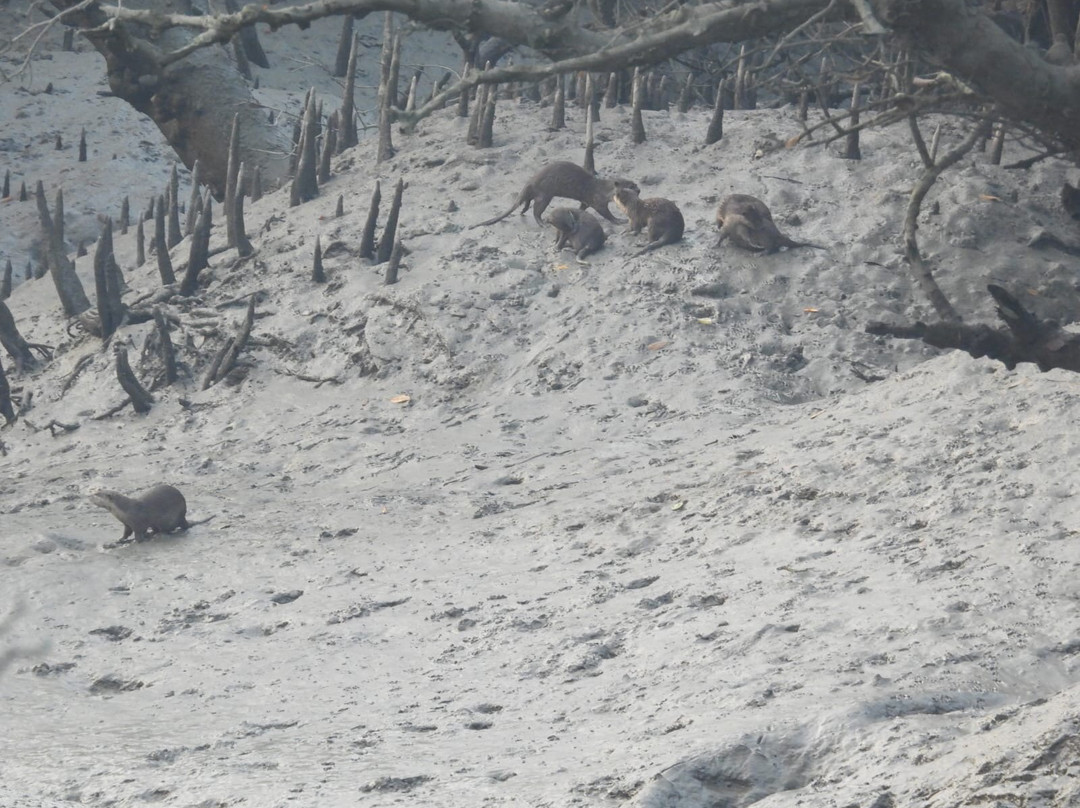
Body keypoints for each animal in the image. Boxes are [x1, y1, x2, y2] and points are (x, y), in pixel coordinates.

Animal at [471, 162, 638, 228]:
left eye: (635, 184)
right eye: (631, 186)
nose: (639, 190)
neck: (603, 189)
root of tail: (530, 180)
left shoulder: (586, 201)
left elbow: (582, 207)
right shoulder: (597, 200)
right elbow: (607, 214)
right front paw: (619, 220)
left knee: (527, 202)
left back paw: (523, 210)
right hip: (545, 195)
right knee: (536, 211)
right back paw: (542, 223)